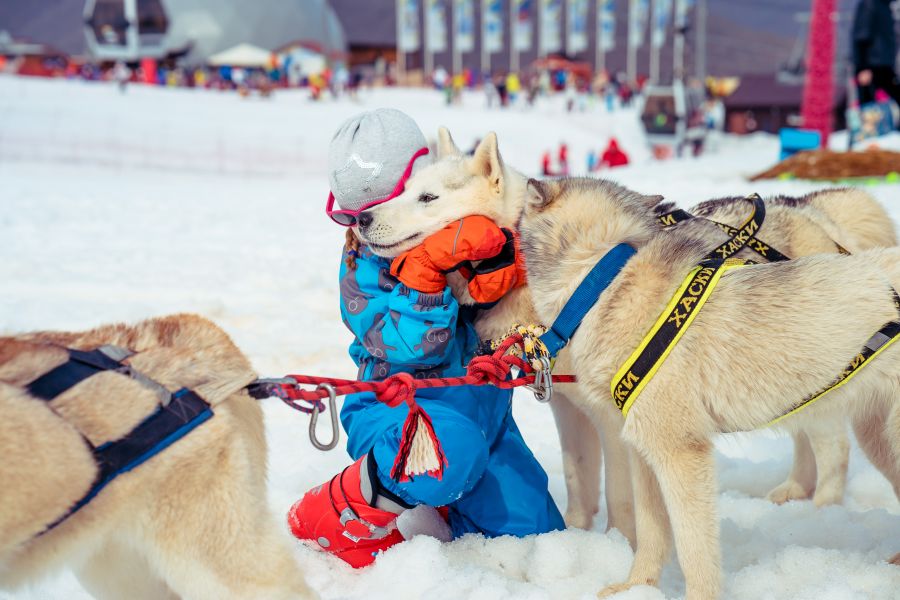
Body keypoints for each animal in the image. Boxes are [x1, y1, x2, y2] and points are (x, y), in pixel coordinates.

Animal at [516, 177, 896, 600]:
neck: (605, 279)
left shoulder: (680, 453)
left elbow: (693, 549)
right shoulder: (643, 454)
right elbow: (651, 534)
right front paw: (636, 587)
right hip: (876, 438)